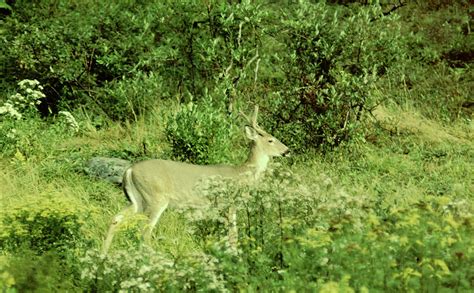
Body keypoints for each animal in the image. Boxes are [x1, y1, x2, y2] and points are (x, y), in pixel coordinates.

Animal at [103, 105, 288, 253]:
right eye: (271, 140)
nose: (287, 150)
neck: (242, 174)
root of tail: (129, 170)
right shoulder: (228, 203)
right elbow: (233, 235)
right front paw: (236, 258)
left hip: (137, 200)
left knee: (116, 219)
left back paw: (103, 255)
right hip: (154, 198)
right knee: (145, 231)